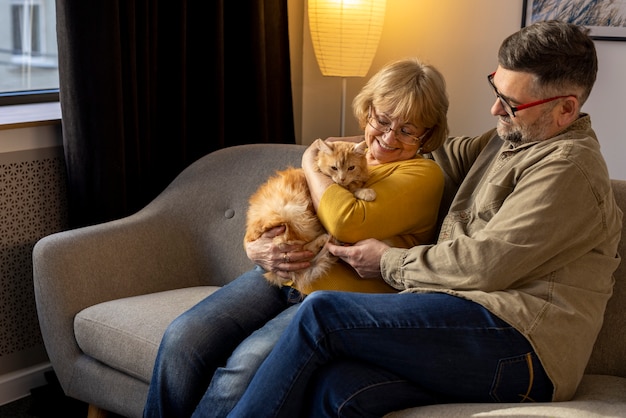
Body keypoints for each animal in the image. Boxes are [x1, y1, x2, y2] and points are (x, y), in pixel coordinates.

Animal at [243, 139, 370, 290]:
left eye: (351, 168)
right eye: (334, 168)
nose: (342, 178)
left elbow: (353, 187)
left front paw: (363, 190)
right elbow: (351, 189)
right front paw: (365, 192)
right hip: (295, 216)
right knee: (301, 250)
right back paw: (324, 239)